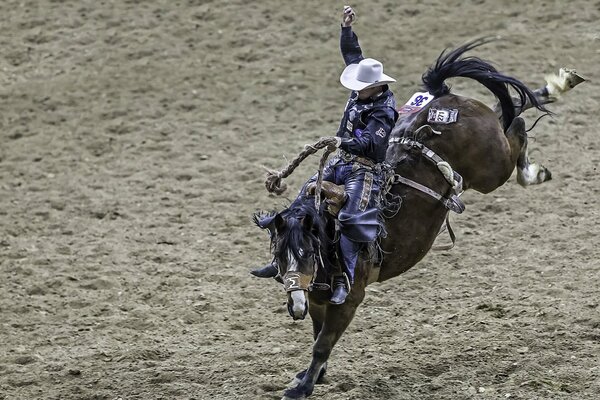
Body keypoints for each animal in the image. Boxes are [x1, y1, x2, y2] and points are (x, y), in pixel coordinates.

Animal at [252, 38, 580, 400]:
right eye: (279, 256)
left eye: (308, 253)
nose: (294, 306)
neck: (328, 235)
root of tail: (445, 97)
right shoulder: (316, 297)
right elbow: (316, 333)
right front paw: (313, 376)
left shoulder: (348, 299)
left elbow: (322, 343)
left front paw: (302, 386)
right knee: (505, 109)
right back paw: (555, 86)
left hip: (492, 168)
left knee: (516, 129)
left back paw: (537, 163)